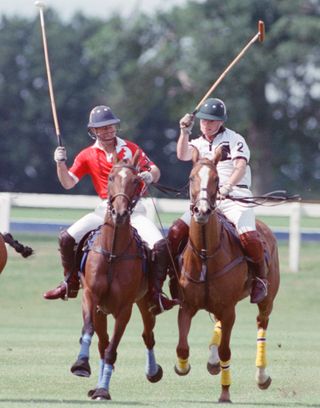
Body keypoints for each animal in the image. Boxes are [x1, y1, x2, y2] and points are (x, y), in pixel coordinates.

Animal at [71, 155, 164, 400]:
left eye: (136, 180)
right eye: (111, 177)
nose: (119, 214)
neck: (113, 253)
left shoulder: (124, 308)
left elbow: (112, 350)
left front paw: (104, 390)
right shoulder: (91, 297)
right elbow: (90, 332)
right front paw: (81, 364)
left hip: (145, 302)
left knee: (147, 335)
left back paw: (152, 371)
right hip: (102, 311)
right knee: (102, 343)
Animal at [175, 150, 280, 402]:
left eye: (215, 179)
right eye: (192, 177)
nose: (202, 211)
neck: (205, 253)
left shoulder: (229, 308)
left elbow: (226, 350)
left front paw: (225, 393)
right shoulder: (187, 305)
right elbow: (182, 346)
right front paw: (183, 366)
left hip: (266, 298)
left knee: (262, 323)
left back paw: (261, 376)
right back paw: (212, 361)